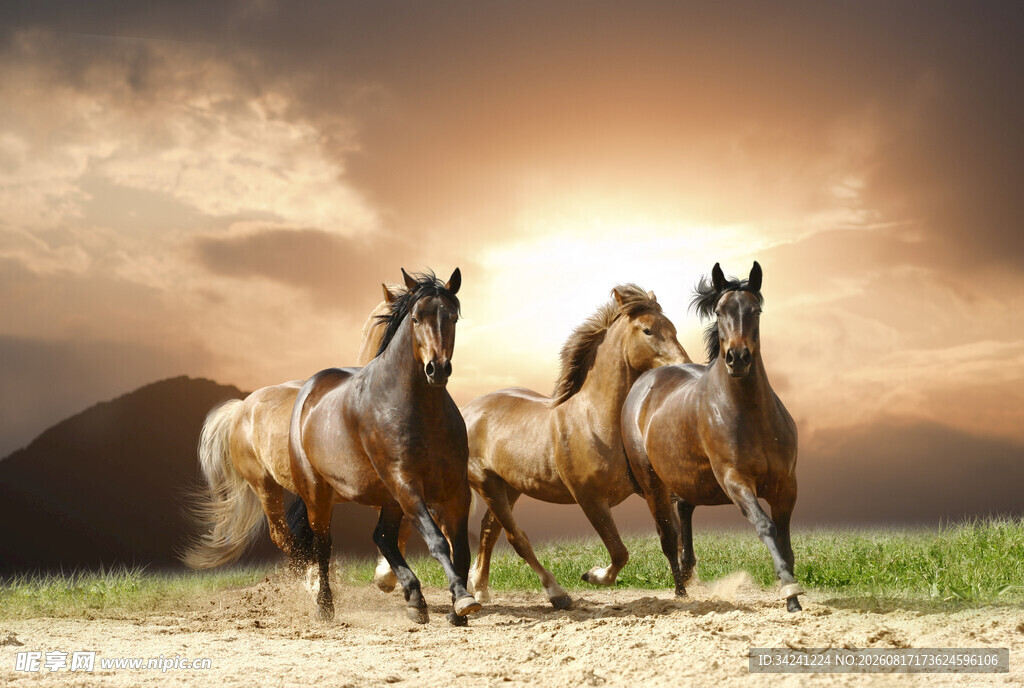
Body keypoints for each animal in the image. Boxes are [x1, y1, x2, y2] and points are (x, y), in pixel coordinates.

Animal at [289, 268, 481, 625]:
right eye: (416, 318)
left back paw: (415, 599)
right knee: (324, 545)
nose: (437, 369)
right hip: (319, 494)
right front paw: (463, 599)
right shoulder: (406, 483)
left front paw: (458, 609)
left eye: (452, 317)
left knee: (382, 537)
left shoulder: (456, 489)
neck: (419, 411)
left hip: (388, 498)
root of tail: (308, 391)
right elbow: (437, 541)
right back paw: (325, 607)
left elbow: (460, 548)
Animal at [463, 285, 690, 609]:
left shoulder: (653, 489)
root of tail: (466, 410)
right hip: (487, 485)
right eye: (648, 330)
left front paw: (683, 590)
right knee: (516, 538)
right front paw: (593, 575)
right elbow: (619, 552)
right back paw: (557, 594)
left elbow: (670, 538)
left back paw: (480, 588)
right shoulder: (589, 499)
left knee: (488, 531)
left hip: (509, 487)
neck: (594, 419)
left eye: (672, 328)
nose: (683, 366)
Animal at [620, 261, 804, 612]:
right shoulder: (735, 480)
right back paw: (680, 591)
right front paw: (789, 589)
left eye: (756, 310)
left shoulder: (786, 485)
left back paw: (688, 570)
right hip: (653, 484)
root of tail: (645, 380)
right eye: (719, 311)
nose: (737, 358)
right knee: (667, 535)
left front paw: (793, 596)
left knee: (684, 512)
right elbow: (766, 526)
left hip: (687, 477)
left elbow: (785, 539)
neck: (751, 415)